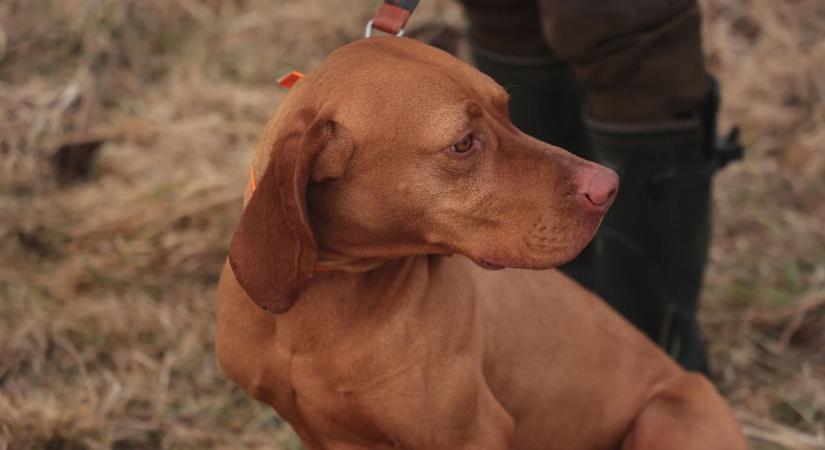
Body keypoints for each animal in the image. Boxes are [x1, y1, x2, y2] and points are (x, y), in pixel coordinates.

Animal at [214, 37, 748, 448]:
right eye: (463, 143)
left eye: (507, 111)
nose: (609, 187)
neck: (321, 304)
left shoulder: (469, 433)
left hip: (665, 418)